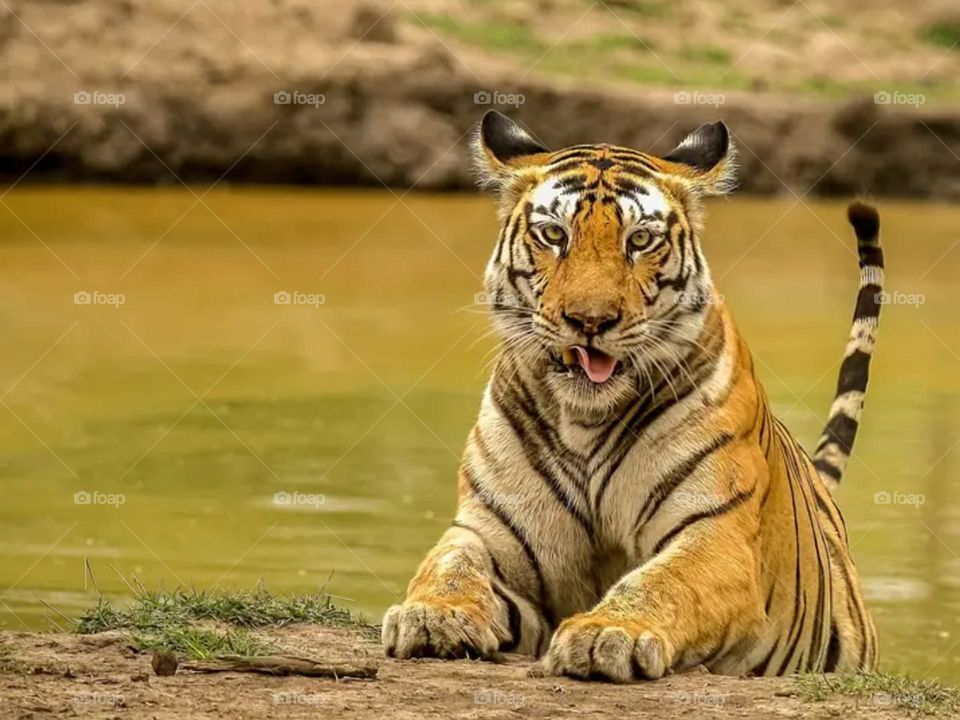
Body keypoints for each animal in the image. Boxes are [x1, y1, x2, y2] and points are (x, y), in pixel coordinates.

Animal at [381, 110, 882, 681]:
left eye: (639, 240)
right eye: (554, 234)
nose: (590, 320)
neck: (583, 420)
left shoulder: (717, 535)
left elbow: (664, 581)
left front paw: (606, 633)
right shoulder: (490, 529)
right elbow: (449, 563)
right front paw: (432, 616)